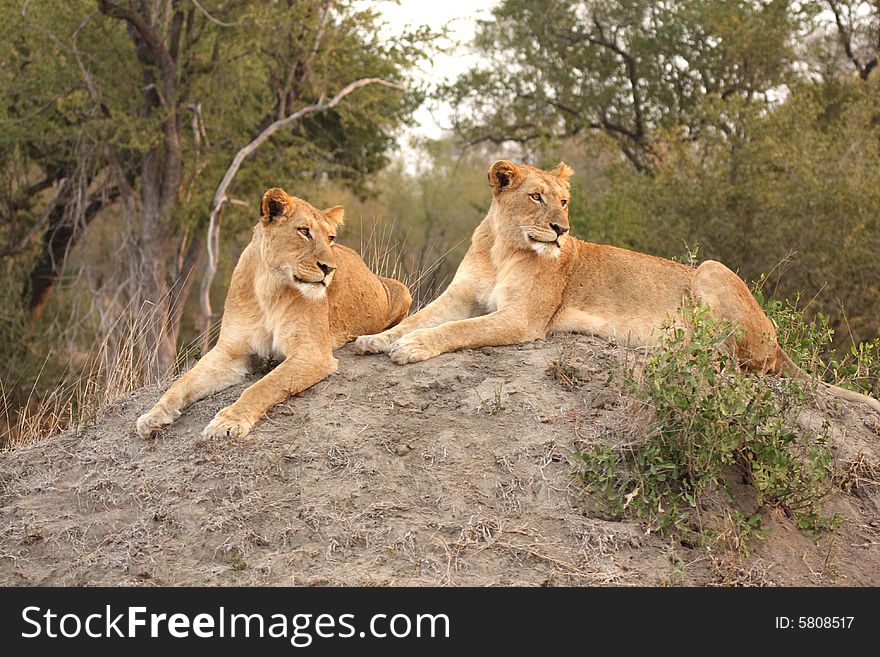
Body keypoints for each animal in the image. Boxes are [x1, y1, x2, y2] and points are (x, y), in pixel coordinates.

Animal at [137, 187, 412, 438]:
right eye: (304, 231)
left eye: (331, 237)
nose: (329, 268)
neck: (267, 287)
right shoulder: (230, 352)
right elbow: (183, 381)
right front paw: (153, 415)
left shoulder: (312, 354)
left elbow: (264, 386)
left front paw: (228, 421)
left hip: (402, 289)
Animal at [356, 160, 880, 412]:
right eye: (537, 197)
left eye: (564, 201)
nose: (562, 229)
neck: (504, 245)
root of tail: (778, 339)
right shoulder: (461, 296)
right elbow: (421, 317)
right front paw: (374, 339)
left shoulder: (525, 319)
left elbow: (457, 331)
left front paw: (412, 348)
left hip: (712, 270)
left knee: (734, 359)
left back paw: (677, 345)